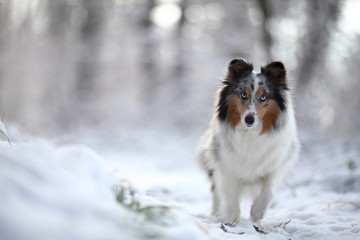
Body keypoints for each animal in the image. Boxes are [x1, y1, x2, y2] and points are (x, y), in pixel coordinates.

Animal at [198, 58, 300, 225]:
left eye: (263, 97)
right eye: (243, 95)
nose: (249, 119)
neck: (250, 134)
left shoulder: (278, 162)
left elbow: (268, 189)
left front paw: (257, 212)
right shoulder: (227, 165)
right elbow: (231, 194)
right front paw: (233, 220)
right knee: (217, 194)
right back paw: (216, 214)